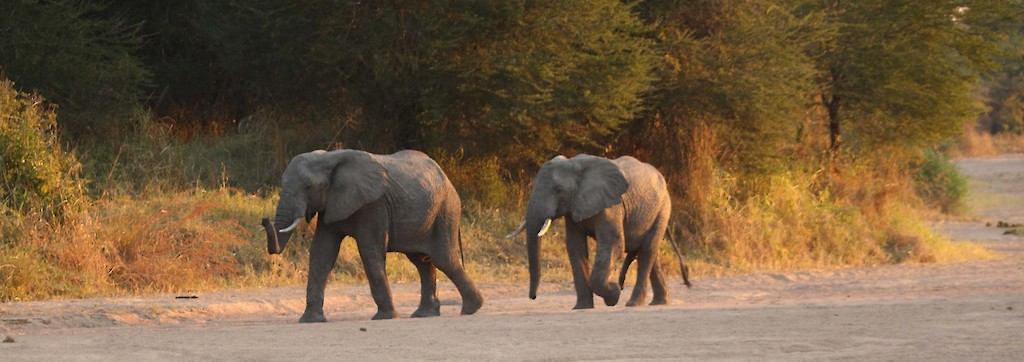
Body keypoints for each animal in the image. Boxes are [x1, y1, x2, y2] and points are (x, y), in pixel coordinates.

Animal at [260, 149, 483, 323]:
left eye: (308, 188)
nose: (264, 220)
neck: (329, 157)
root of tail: (446, 177)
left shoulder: (374, 205)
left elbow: (369, 251)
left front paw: (385, 317)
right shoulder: (331, 204)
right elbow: (322, 253)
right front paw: (310, 320)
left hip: (446, 210)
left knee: (444, 258)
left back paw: (471, 309)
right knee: (422, 261)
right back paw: (425, 314)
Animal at [507, 154, 692, 308]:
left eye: (559, 190)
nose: (533, 297)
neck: (574, 164)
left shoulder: (611, 207)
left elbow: (614, 244)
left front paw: (614, 294)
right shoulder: (574, 207)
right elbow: (575, 247)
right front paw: (581, 307)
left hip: (663, 209)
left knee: (647, 252)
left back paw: (633, 304)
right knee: (650, 254)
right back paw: (658, 302)